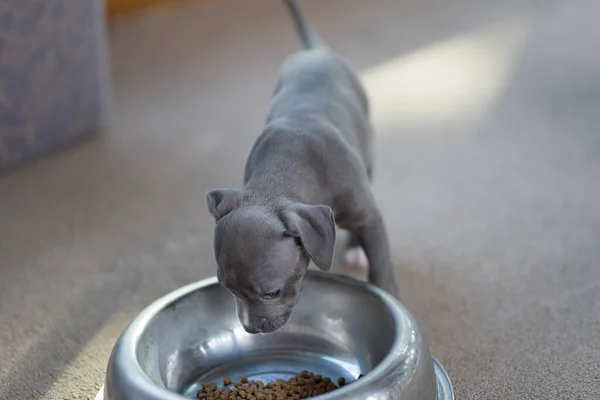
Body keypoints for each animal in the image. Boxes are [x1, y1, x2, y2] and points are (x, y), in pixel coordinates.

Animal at [206, 0, 398, 334]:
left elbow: (381, 265)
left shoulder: (370, 216)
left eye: (272, 292)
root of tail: (315, 51)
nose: (250, 329)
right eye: (226, 287)